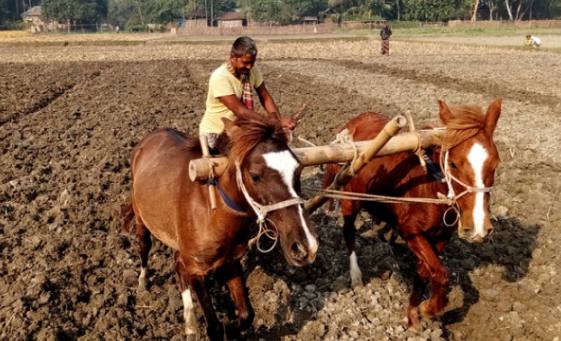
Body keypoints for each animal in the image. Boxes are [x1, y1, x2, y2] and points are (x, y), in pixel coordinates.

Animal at [121, 116, 318, 338]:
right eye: (255, 175)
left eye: (298, 170)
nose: (305, 246)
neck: (214, 211)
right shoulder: (196, 270)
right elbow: (214, 327)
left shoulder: (231, 261)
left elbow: (246, 315)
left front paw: (232, 329)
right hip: (141, 218)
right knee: (145, 246)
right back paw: (143, 282)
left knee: (178, 263)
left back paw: (190, 325)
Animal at [324, 98, 504, 326]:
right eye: (453, 163)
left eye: (495, 163)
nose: (479, 227)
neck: (430, 186)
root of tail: (355, 122)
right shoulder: (410, 230)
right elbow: (440, 273)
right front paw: (429, 308)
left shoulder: (441, 237)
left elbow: (425, 272)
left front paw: (413, 313)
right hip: (350, 198)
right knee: (348, 232)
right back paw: (355, 274)